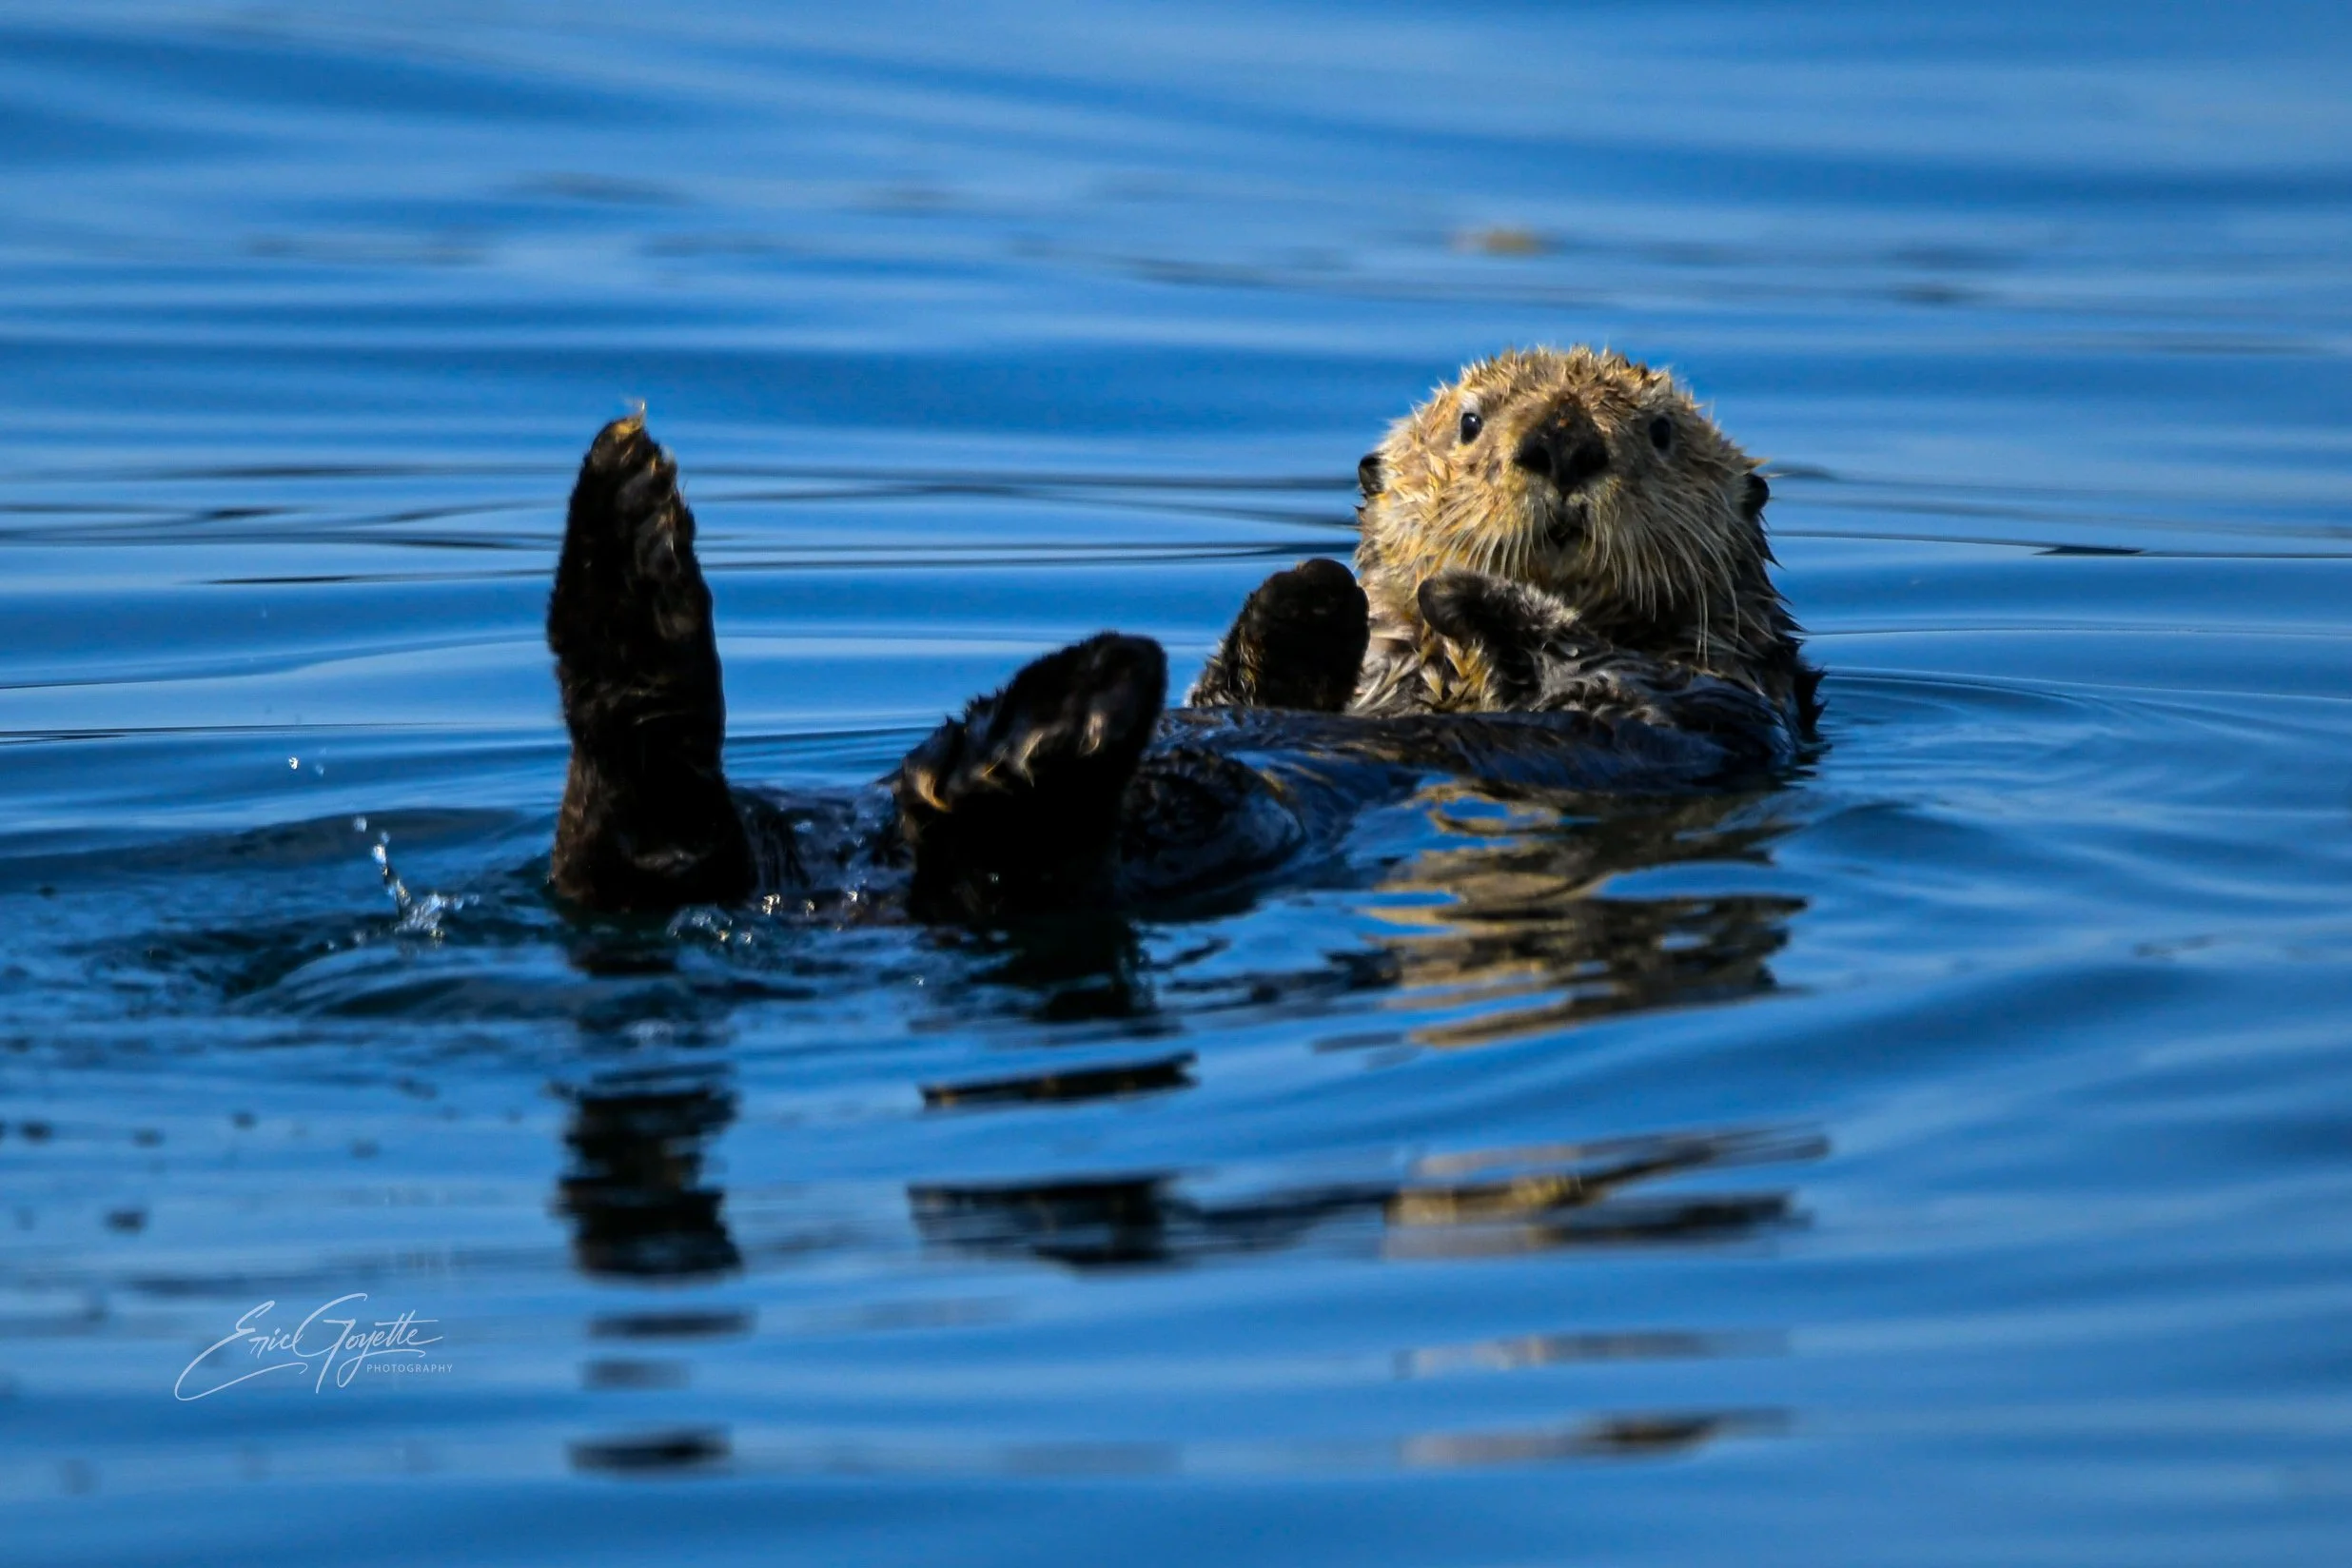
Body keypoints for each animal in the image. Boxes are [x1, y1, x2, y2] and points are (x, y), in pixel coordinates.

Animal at [548, 350, 1814, 921]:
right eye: (1468, 421)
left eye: (1658, 432)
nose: (1560, 441)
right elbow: (1245, 681)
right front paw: (1312, 593)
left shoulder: (1722, 710)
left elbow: (1618, 683)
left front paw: (1471, 597)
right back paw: (629, 522)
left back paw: (1042, 735)